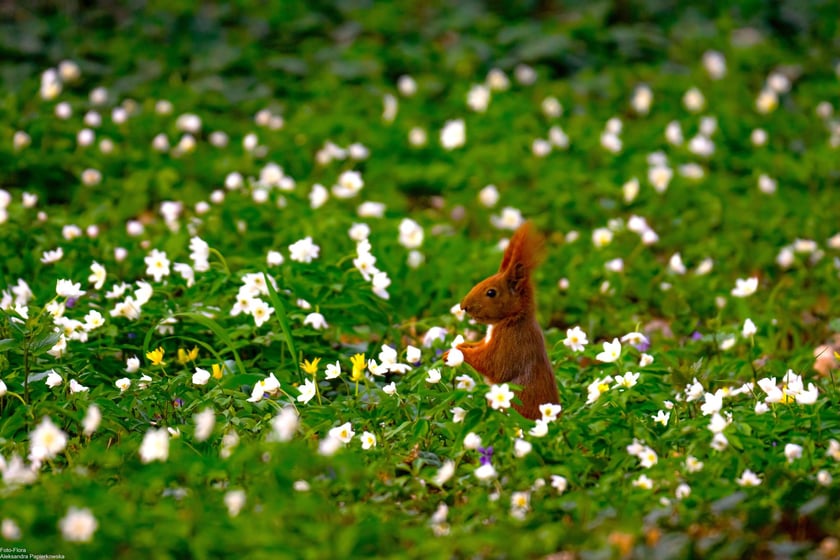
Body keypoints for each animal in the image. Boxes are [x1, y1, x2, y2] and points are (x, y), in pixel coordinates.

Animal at [446, 221, 556, 418]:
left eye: (491, 292)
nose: (463, 306)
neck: (512, 319)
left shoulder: (511, 343)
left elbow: (491, 364)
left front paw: (456, 351)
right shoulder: (487, 341)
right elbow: (478, 346)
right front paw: (462, 345)